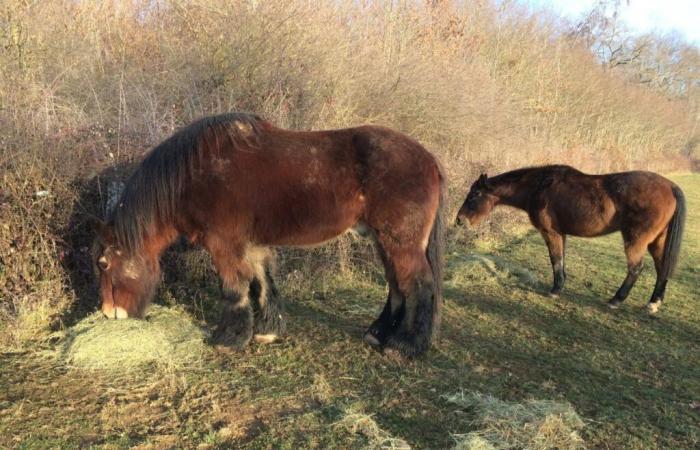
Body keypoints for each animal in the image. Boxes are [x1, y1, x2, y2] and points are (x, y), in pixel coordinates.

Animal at [93, 113, 446, 358]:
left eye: (103, 264)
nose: (109, 314)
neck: (193, 176)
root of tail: (429, 159)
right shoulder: (252, 246)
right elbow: (262, 283)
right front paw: (267, 331)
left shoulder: (224, 247)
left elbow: (234, 289)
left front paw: (229, 338)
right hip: (384, 242)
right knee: (397, 287)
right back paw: (379, 334)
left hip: (400, 243)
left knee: (418, 286)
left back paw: (404, 346)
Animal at [456, 165, 688, 312]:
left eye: (475, 195)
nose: (459, 220)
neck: (539, 186)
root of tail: (670, 187)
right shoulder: (561, 234)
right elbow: (561, 260)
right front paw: (560, 286)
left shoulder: (551, 233)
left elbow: (555, 260)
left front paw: (555, 290)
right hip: (657, 241)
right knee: (661, 268)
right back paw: (654, 303)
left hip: (636, 240)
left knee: (635, 268)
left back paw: (616, 300)